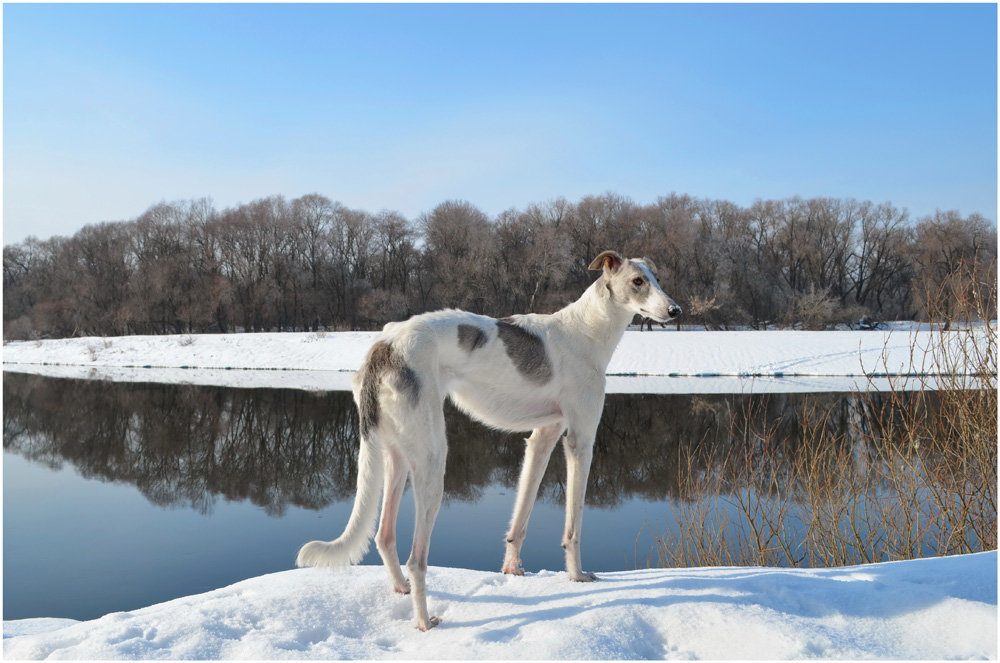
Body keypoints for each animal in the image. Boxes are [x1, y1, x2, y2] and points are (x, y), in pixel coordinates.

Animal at [296, 250, 684, 632]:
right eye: (638, 281)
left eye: (658, 278)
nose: (675, 311)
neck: (585, 330)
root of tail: (384, 345)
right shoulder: (580, 440)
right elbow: (573, 525)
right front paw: (576, 576)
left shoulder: (542, 438)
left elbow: (521, 516)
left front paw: (513, 569)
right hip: (432, 458)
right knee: (417, 558)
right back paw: (424, 622)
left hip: (397, 455)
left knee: (384, 535)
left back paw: (401, 589)